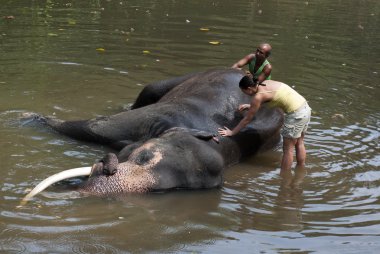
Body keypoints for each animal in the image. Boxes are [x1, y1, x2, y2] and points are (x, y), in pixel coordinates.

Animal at [20, 68, 282, 202]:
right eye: (143, 156)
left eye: (163, 190)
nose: (105, 170)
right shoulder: (158, 115)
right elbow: (92, 126)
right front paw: (30, 116)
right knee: (149, 90)